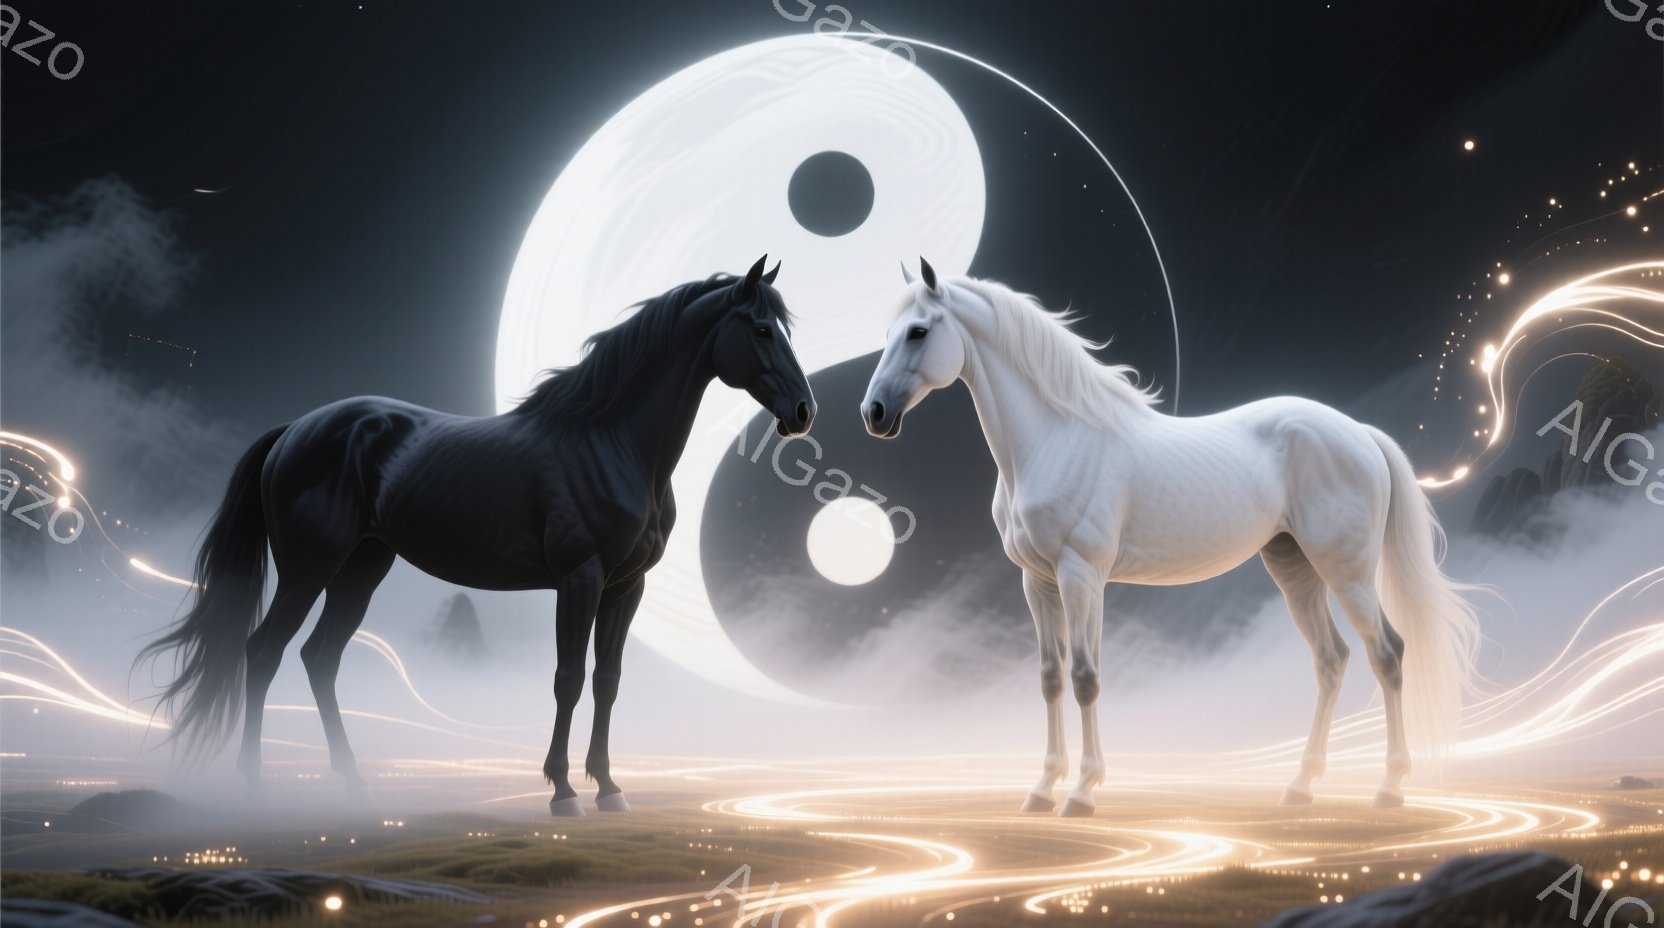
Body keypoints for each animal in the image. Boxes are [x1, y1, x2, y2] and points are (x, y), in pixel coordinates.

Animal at [140, 256, 816, 816]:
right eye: (761, 330)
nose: (803, 412)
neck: (613, 442)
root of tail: (294, 431)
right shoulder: (580, 578)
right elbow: (568, 678)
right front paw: (563, 791)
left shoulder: (627, 588)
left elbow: (608, 681)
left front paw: (609, 788)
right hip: (310, 569)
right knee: (263, 653)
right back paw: (254, 786)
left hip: (362, 570)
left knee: (320, 659)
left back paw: (353, 782)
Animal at [860, 259, 1480, 817]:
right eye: (888, 334)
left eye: (919, 332)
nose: (874, 414)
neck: (1055, 438)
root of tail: (1360, 434)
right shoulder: (1037, 582)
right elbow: (1051, 679)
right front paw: (1041, 790)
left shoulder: (1081, 574)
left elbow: (1085, 677)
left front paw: (1082, 793)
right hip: (1294, 568)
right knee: (1331, 661)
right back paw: (1299, 788)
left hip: (1346, 572)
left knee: (1387, 653)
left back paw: (1389, 790)